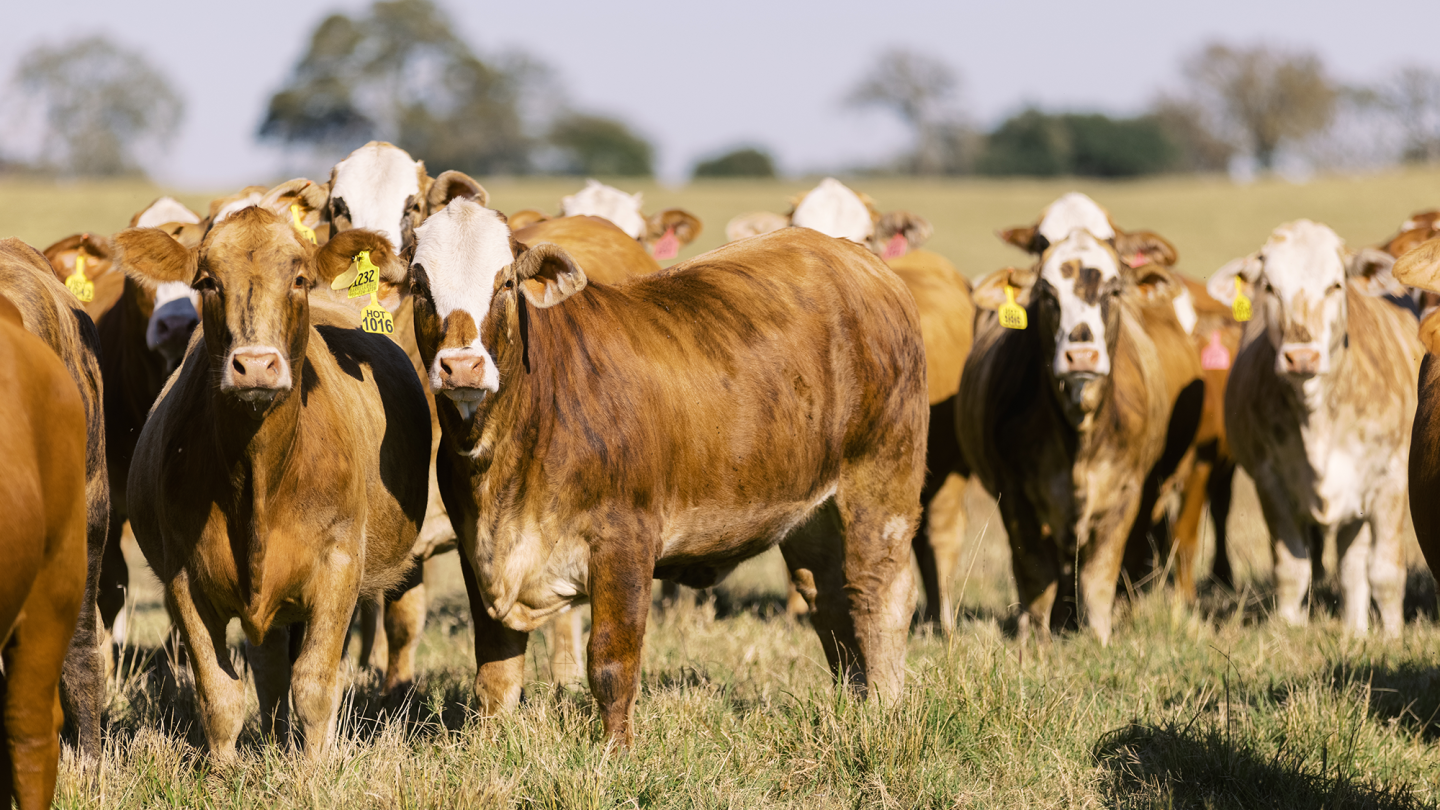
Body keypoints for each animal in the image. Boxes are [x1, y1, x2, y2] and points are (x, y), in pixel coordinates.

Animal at [114, 205, 431, 760]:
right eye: (207, 281)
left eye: (299, 279)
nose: (256, 365)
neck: (259, 477)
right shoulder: (182, 579)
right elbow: (220, 694)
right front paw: (222, 772)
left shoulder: (339, 567)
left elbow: (315, 684)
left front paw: (314, 770)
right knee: (267, 668)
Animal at [410, 199, 928, 745]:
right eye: (419, 285)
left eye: (506, 282)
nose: (461, 366)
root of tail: (861, 261)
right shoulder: (480, 551)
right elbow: (495, 673)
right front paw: (490, 744)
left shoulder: (625, 541)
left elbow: (611, 663)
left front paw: (615, 751)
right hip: (811, 513)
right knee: (829, 600)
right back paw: (854, 700)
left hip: (882, 482)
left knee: (879, 594)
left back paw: (885, 707)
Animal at [959, 224, 1200, 644]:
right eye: (1046, 294)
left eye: (1113, 290)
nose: (1082, 355)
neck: (1079, 433)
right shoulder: (1015, 495)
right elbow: (1035, 571)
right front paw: (1033, 638)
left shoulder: (1126, 493)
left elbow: (1099, 573)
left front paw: (1098, 637)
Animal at [1208, 220, 1421, 636]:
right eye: (1270, 287)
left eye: (1335, 285)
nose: (1302, 356)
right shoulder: (1269, 482)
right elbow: (1292, 571)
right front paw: (1288, 631)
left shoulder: (1391, 479)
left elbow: (1386, 572)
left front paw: (1392, 636)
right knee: (1350, 565)